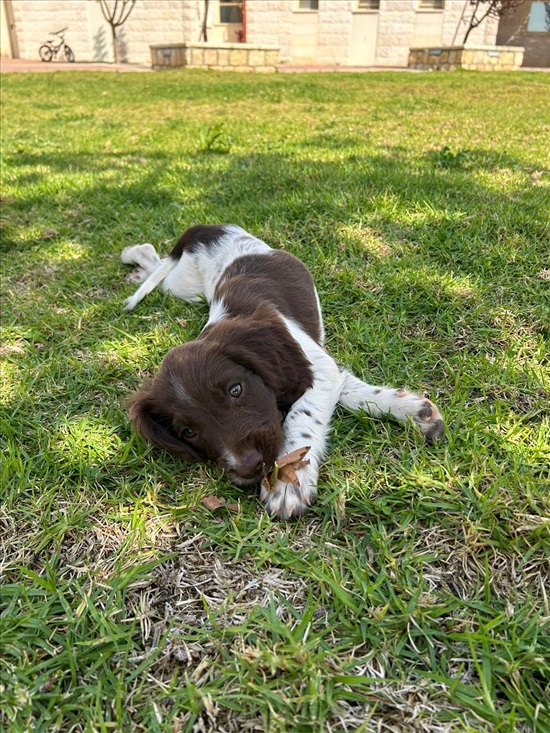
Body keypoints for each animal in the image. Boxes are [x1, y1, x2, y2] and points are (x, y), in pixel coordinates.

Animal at [123, 226, 446, 516]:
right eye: (188, 432)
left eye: (236, 390)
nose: (249, 467)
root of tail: (212, 228)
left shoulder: (317, 365)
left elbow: (303, 413)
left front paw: (287, 480)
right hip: (183, 286)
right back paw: (135, 260)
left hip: (182, 283)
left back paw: (132, 256)